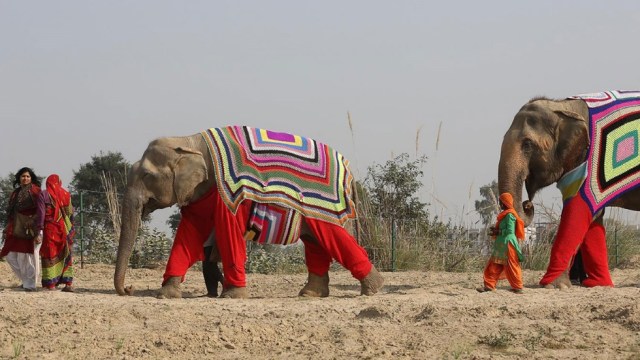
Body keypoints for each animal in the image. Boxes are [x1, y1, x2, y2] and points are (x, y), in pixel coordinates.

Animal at [114, 125, 384, 300]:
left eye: (147, 175)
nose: (129, 289)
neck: (190, 140)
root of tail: (349, 171)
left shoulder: (231, 193)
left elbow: (228, 230)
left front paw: (232, 295)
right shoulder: (199, 192)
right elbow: (189, 232)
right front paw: (166, 295)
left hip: (325, 205)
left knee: (332, 237)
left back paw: (372, 289)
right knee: (316, 242)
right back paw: (310, 295)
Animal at [500, 90, 640, 290]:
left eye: (527, 144)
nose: (528, 204)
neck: (563, 107)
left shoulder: (590, 161)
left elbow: (578, 210)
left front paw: (553, 286)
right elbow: (594, 215)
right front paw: (597, 284)